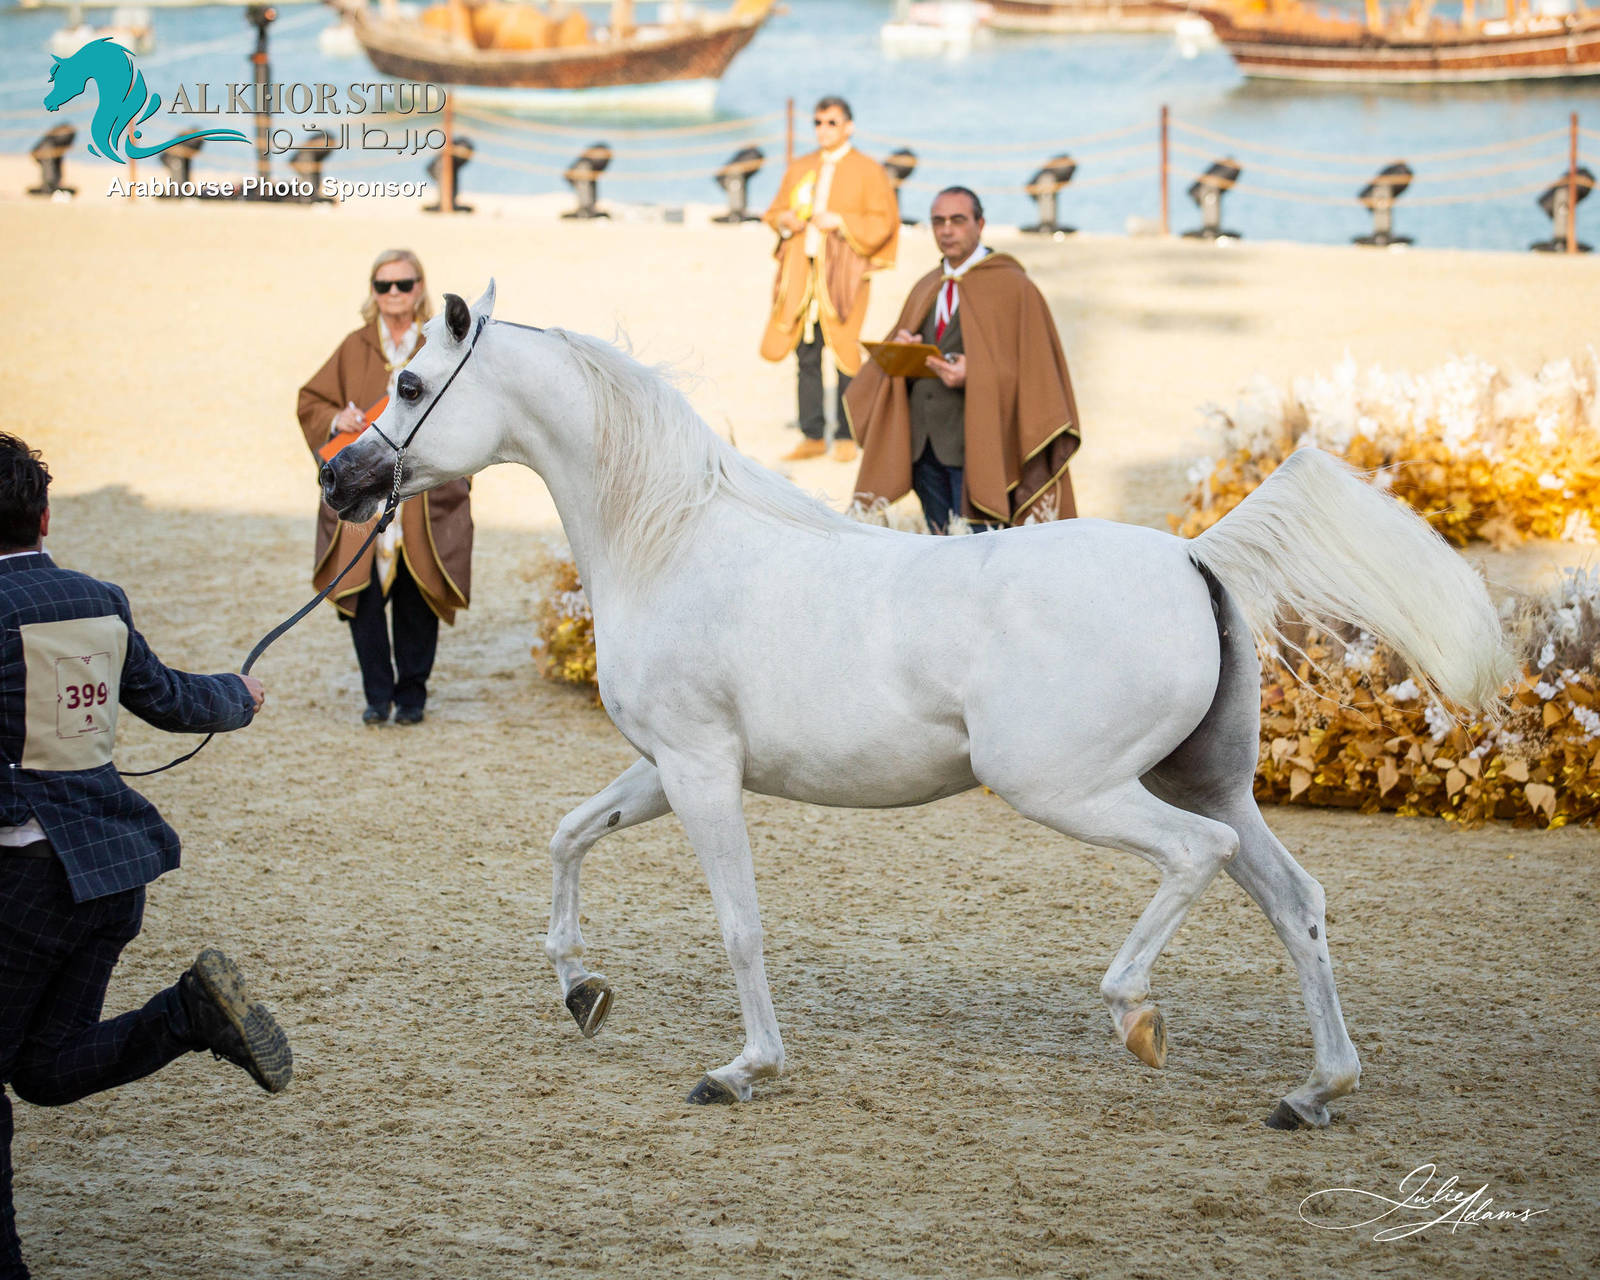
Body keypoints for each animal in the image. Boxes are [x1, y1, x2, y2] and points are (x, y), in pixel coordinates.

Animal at [320, 284, 1512, 1129]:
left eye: (413, 383)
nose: (341, 480)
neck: (673, 540)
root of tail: (1193, 556)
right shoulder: (664, 767)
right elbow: (568, 836)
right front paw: (582, 988)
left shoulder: (702, 773)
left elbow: (739, 923)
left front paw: (743, 1068)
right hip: (1202, 777)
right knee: (1294, 899)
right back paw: (1314, 1090)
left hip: (1070, 787)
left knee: (1198, 857)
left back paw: (1137, 1016)